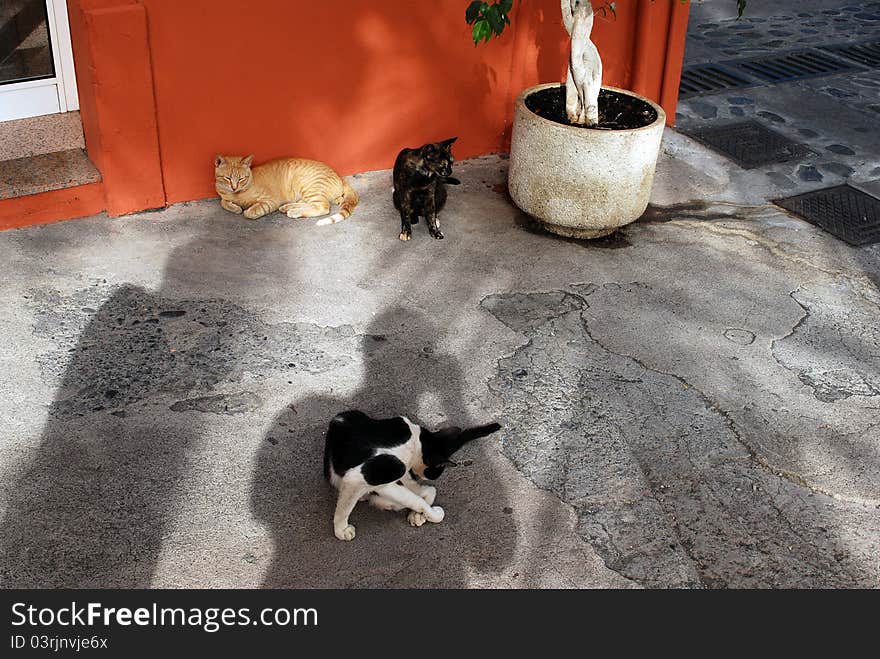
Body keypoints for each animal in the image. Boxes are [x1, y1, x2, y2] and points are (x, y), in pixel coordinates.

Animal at [213, 155, 358, 226]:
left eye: (242, 178)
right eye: (227, 178)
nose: (234, 187)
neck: (237, 194)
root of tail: (339, 176)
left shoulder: (270, 201)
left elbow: (253, 211)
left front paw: (247, 210)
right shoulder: (224, 196)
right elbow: (224, 202)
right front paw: (235, 208)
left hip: (309, 187)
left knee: (323, 207)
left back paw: (294, 212)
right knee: (311, 204)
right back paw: (288, 207)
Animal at [324, 410, 502, 544]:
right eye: (438, 470)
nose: (435, 476)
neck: (416, 442)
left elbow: (424, 493)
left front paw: (418, 515)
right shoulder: (362, 476)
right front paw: (341, 529)